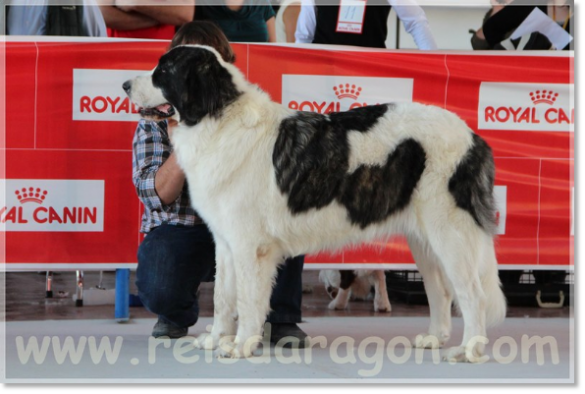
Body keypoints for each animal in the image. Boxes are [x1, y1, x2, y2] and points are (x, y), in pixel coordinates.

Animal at [124, 45, 506, 364]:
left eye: (164, 70)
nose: (126, 84)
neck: (219, 117)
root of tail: (474, 137)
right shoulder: (226, 243)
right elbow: (222, 297)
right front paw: (217, 339)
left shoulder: (250, 247)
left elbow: (247, 299)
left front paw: (241, 345)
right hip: (426, 240)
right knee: (440, 290)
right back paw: (434, 339)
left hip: (451, 233)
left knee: (472, 294)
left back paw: (469, 350)